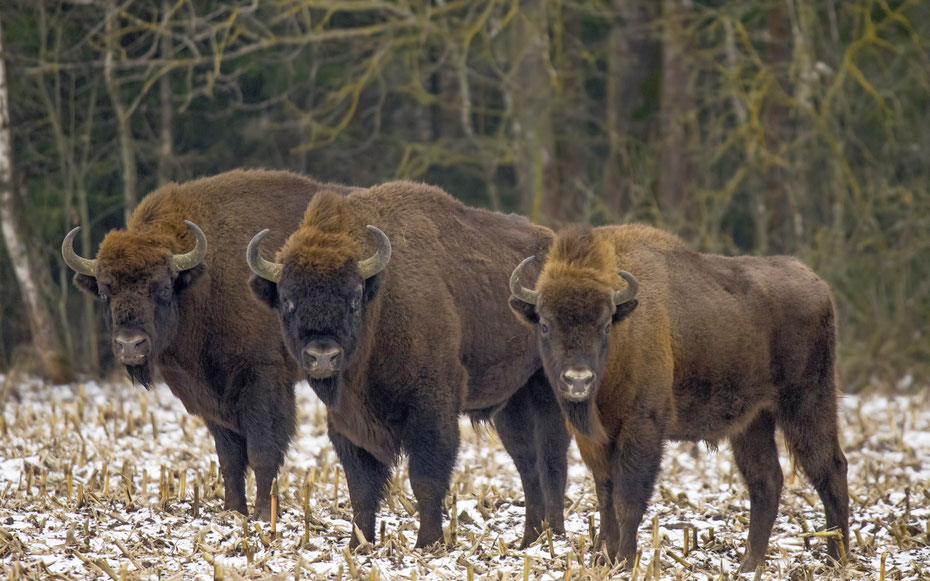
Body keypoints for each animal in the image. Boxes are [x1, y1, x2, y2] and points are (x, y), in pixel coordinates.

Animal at [59, 170, 354, 520]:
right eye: (105, 291)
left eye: (163, 287)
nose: (130, 345)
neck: (205, 280)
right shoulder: (209, 394)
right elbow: (229, 457)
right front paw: (233, 510)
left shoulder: (263, 378)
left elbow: (262, 451)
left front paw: (261, 515)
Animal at [245, 185, 564, 548]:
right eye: (287, 299)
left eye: (355, 297)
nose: (323, 355)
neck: (382, 301)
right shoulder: (347, 421)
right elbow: (361, 486)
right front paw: (359, 543)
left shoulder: (431, 406)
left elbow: (426, 476)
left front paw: (428, 542)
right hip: (512, 403)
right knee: (527, 463)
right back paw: (530, 538)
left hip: (549, 392)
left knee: (552, 459)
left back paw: (554, 534)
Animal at [508, 225, 848, 572]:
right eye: (545, 324)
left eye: (605, 325)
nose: (578, 380)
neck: (624, 333)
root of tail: (816, 283)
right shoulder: (594, 439)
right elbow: (605, 495)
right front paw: (602, 559)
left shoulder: (642, 428)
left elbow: (627, 499)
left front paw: (626, 560)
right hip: (754, 420)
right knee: (765, 479)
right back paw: (749, 564)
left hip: (807, 402)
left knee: (830, 467)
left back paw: (837, 558)